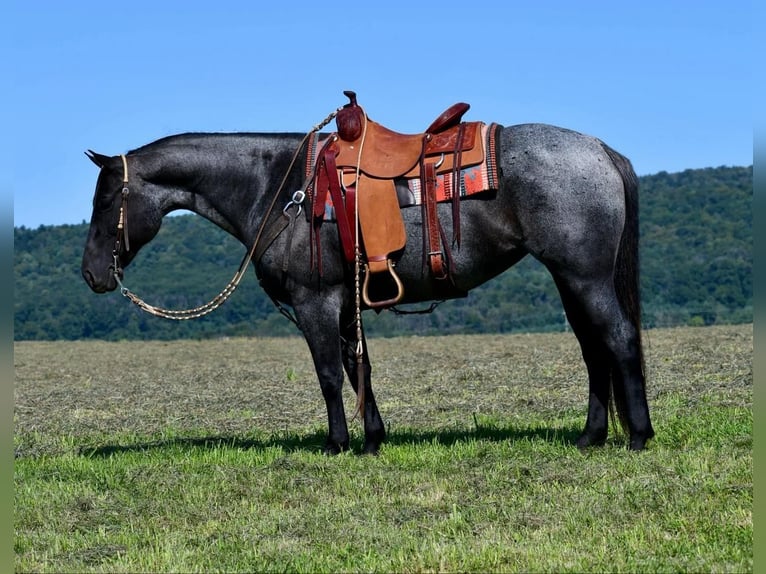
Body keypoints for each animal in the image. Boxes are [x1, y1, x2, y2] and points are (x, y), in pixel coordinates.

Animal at [81, 103, 656, 454]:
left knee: (619, 339)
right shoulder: (341, 302)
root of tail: (599, 149)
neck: (277, 186)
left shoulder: (315, 301)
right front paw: (374, 438)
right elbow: (360, 369)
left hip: (585, 277)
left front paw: (337, 443)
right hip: (570, 279)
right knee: (593, 348)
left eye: (106, 200)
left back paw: (639, 436)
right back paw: (591, 436)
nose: (91, 274)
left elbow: (330, 374)